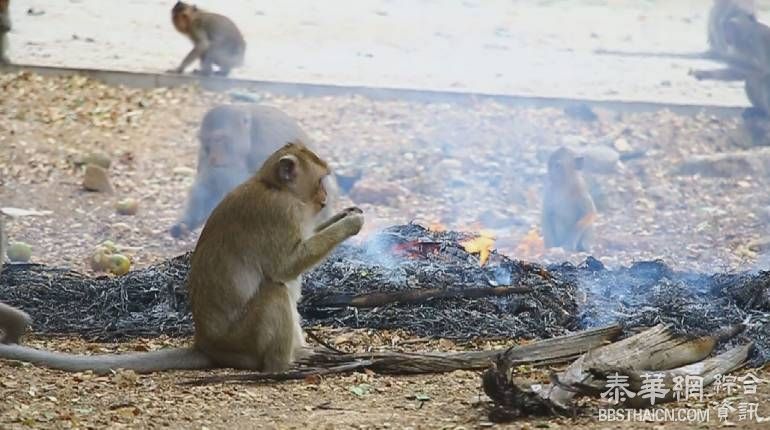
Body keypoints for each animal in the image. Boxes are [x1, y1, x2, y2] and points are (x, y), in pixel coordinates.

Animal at [0, 142, 364, 372]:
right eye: (320, 180)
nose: (325, 195)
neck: (271, 186)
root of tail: (206, 344)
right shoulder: (280, 213)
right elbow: (284, 267)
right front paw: (351, 223)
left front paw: (346, 213)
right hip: (242, 340)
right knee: (275, 292)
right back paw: (282, 365)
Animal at [170, 104, 338, 239]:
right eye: (207, 142)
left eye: (220, 139)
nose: (213, 156)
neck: (249, 135)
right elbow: (206, 184)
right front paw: (184, 224)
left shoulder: (267, 139)